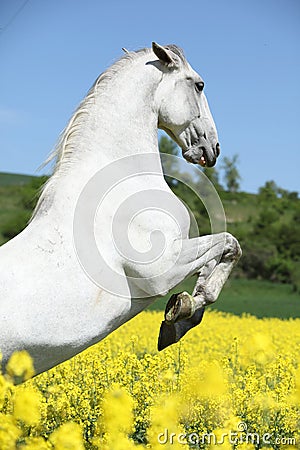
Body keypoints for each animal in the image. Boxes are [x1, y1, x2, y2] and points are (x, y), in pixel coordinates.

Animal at [0, 44, 240, 376]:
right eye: (199, 84)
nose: (212, 149)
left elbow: (224, 252)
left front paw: (182, 311)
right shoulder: (161, 269)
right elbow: (229, 244)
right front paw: (184, 310)